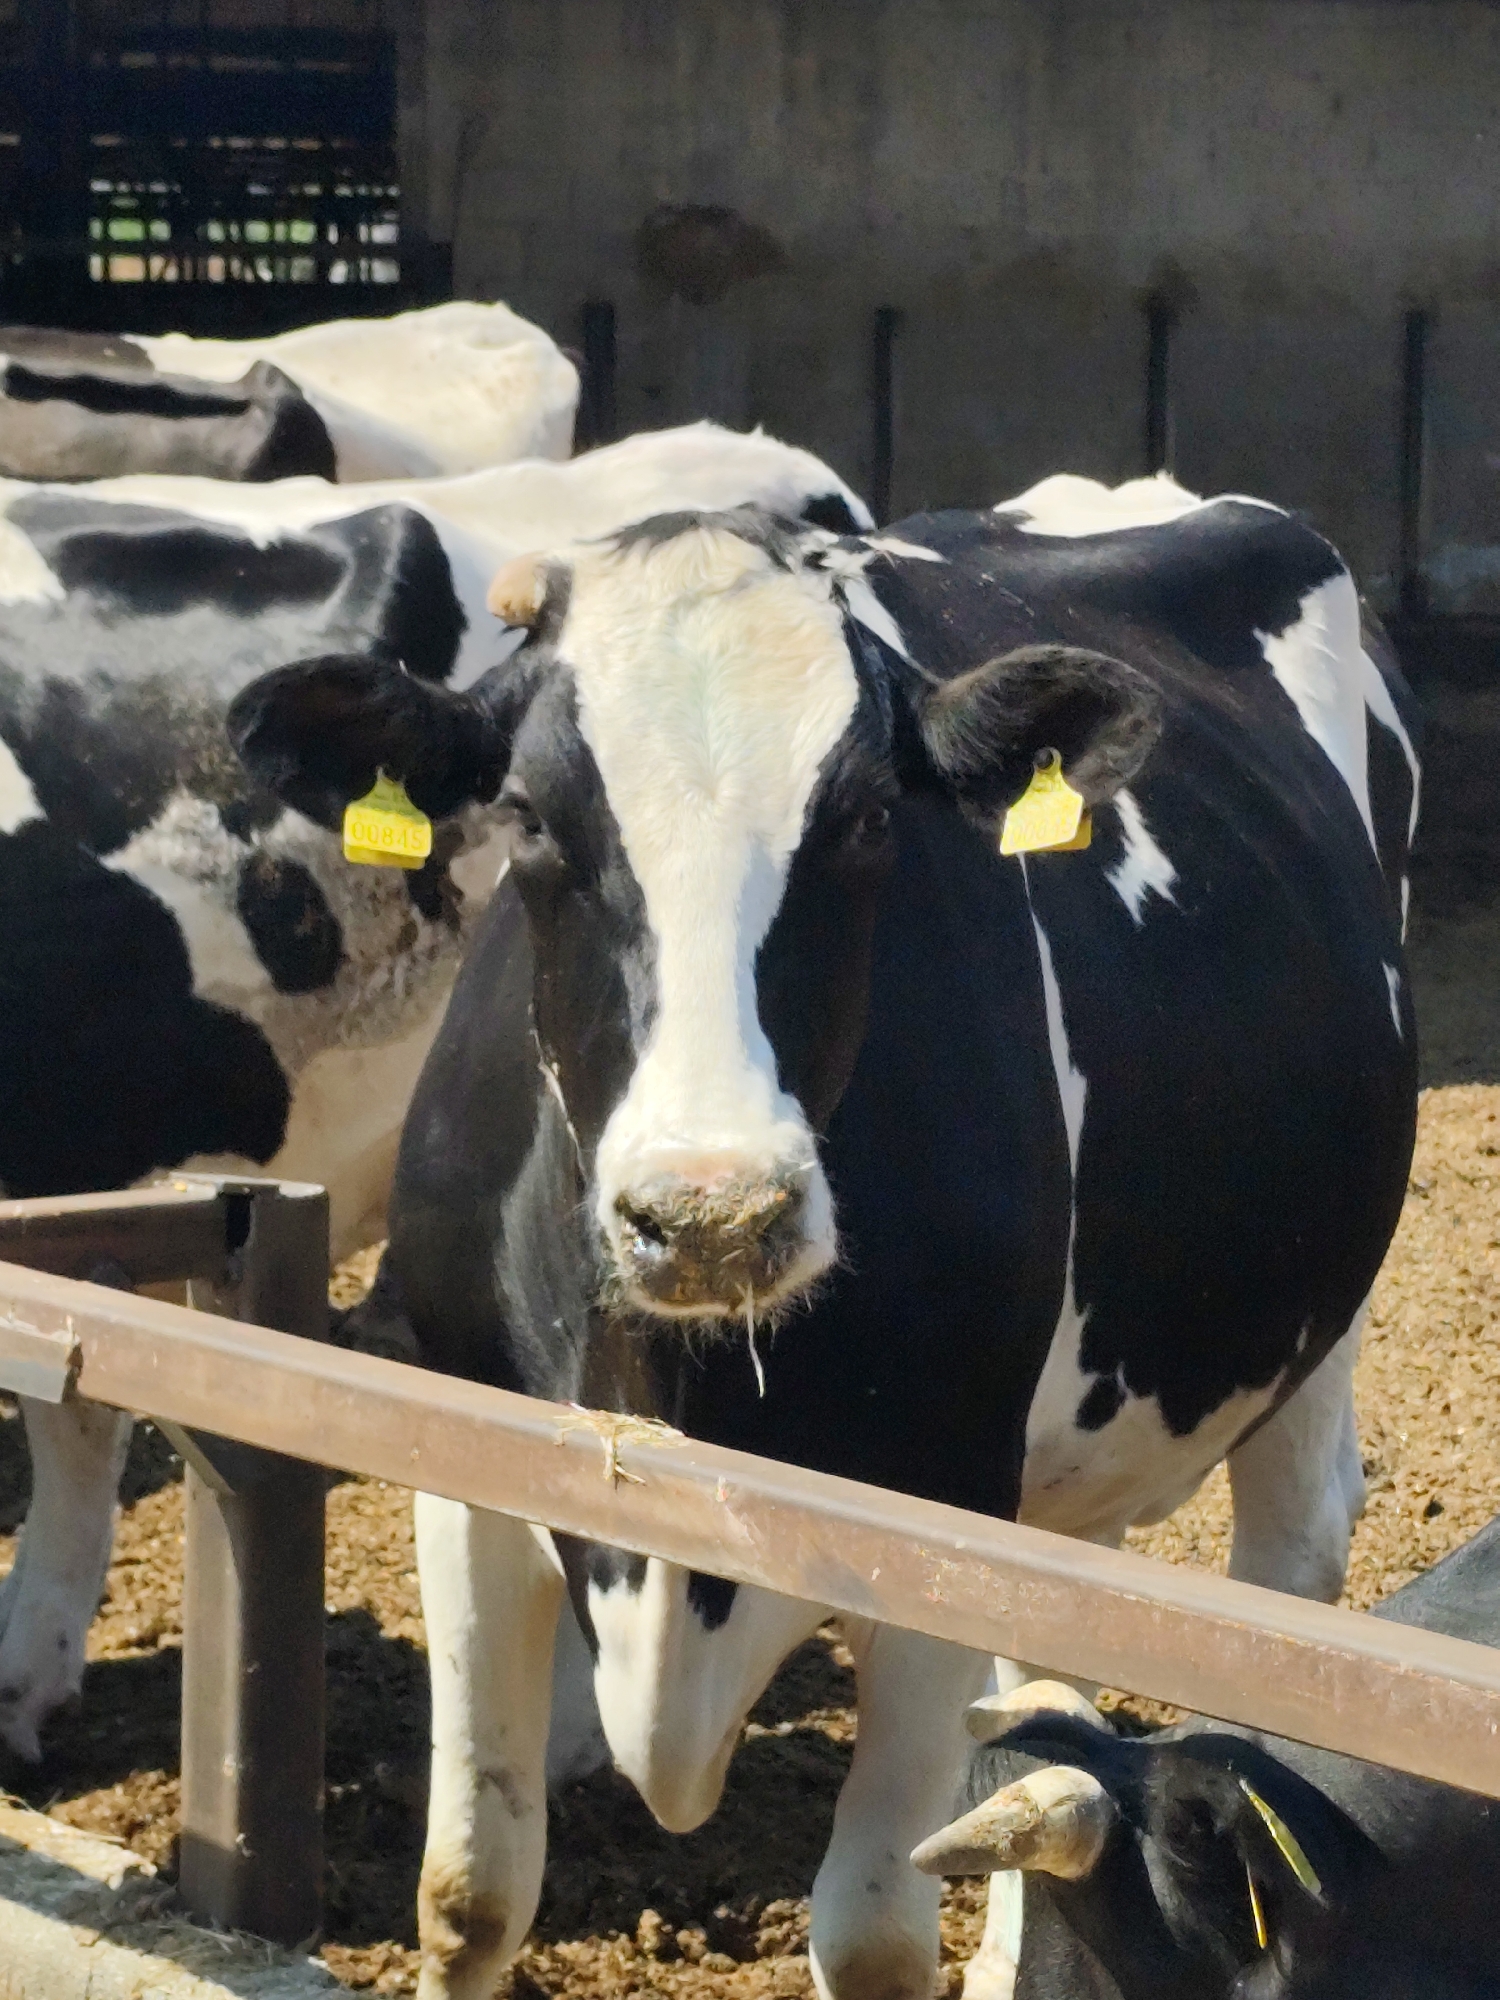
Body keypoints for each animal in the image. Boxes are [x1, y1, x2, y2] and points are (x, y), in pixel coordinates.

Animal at [228, 471, 1422, 2000]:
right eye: (535, 819)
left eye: (861, 819)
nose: (712, 1215)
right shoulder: (464, 1456)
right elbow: (470, 1893)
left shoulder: (939, 1503)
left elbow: (871, 1936)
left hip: (1308, 1336)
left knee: (1287, 1567)